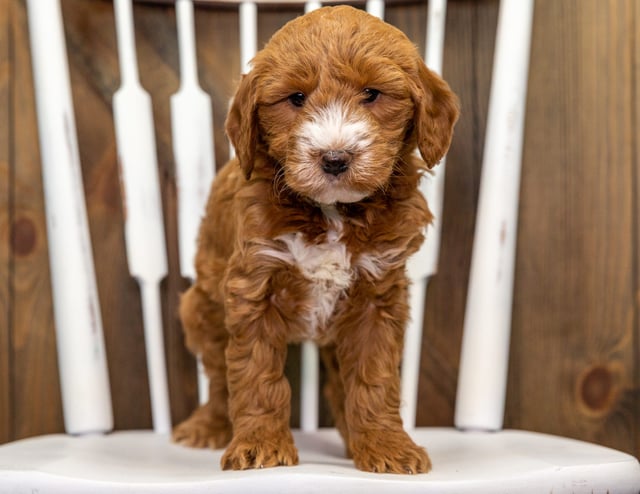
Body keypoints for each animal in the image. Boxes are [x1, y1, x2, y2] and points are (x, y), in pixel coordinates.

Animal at [172, 4, 458, 474]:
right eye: (296, 99)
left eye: (372, 93)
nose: (335, 158)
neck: (333, 212)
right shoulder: (254, 284)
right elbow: (254, 373)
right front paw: (260, 446)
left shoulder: (377, 295)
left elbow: (374, 377)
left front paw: (386, 446)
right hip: (201, 309)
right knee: (216, 375)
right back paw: (208, 427)